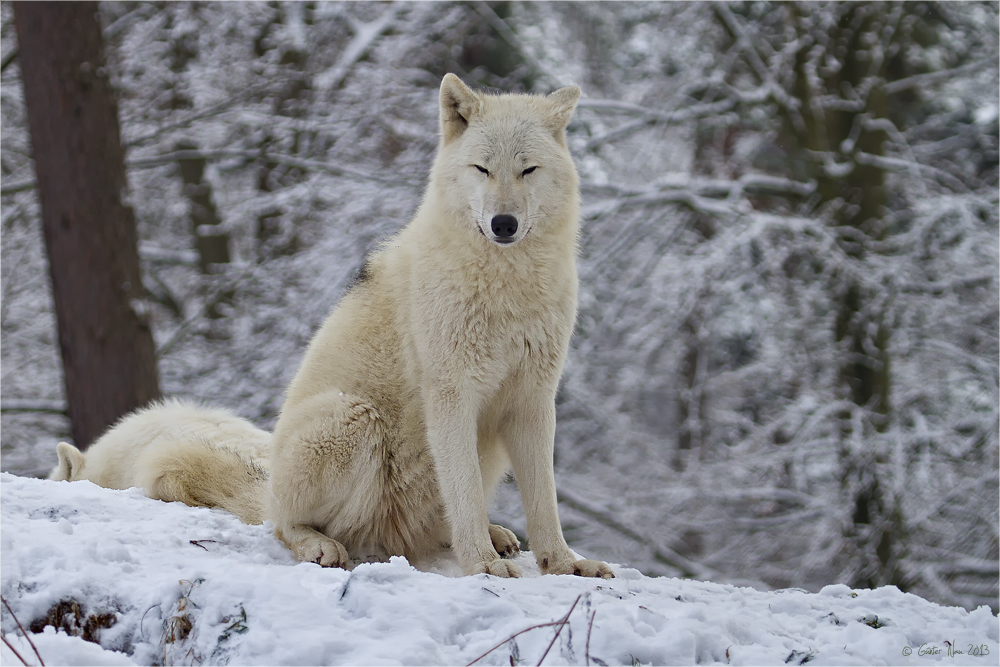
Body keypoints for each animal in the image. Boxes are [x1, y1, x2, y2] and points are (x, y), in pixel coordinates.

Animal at [266, 73, 608, 580]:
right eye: (482, 169)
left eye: (528, 170)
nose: (503, 223)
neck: (506, 289)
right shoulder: (451, 393)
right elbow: (463, 490)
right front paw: (482, 564)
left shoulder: (533, 398)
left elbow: (544, 499)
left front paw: (564, 563)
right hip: (352, 418)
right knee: (282, 524)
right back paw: (319, 544)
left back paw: (496, 536)